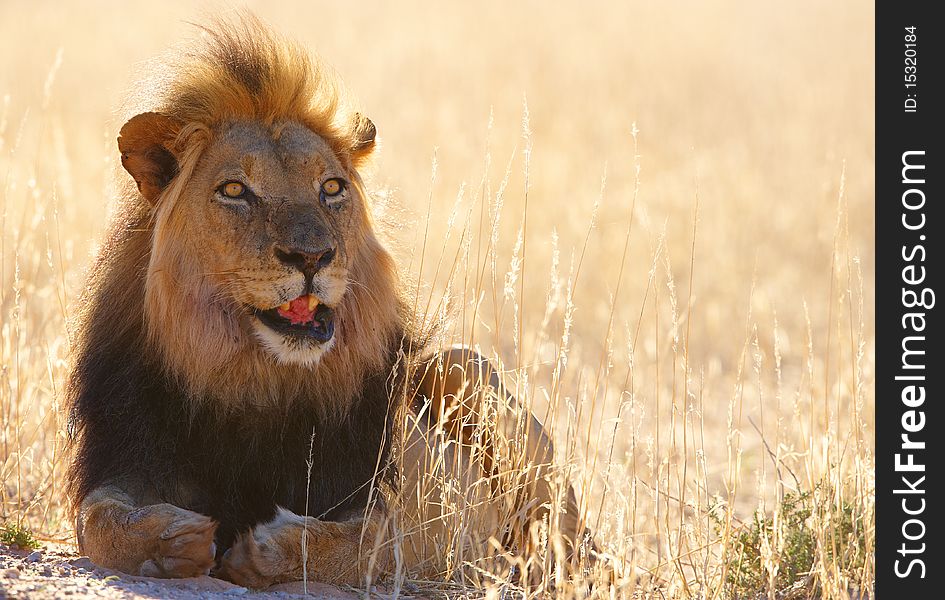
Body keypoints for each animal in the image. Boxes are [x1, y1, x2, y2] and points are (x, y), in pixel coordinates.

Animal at [64, 15, 592, 592]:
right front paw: (170, 539)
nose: (312, 256)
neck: (254, 378)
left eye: (332, 187)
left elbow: (371, 540)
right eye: (235, 190)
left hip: (456, 366)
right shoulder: (128, 454)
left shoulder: (411, 512)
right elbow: (97, 520)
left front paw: (269, 548)